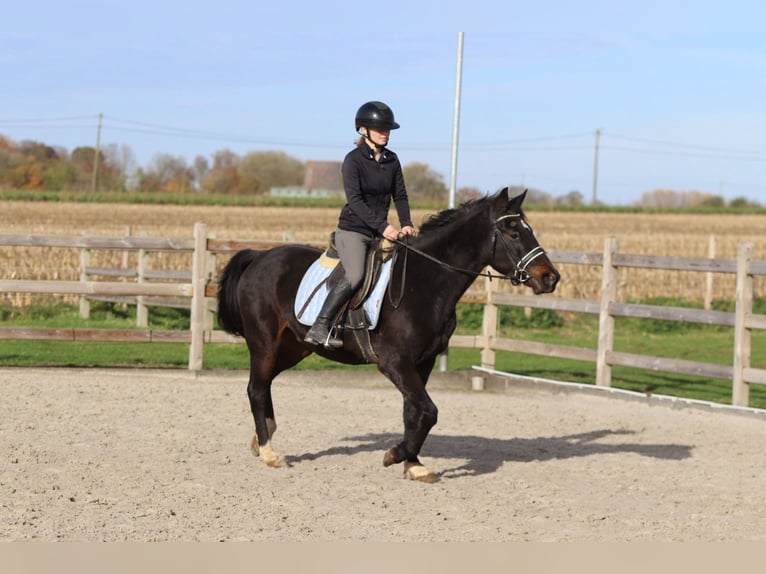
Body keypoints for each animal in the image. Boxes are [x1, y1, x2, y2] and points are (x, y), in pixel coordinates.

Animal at [216, 187, 560, 482]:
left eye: (529, 230)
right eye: (514, 232)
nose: (551, 278)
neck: (426, 282)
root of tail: (259, 257)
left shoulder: (423, 363)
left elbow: (414, 412)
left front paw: (414, 465)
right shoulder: (394, 362)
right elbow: (429, 411)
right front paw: (394, 454)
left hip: (293, 348)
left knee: (265, 385)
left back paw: (261, 438)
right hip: (265, 343)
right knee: (256, 388)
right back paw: (268, 452)